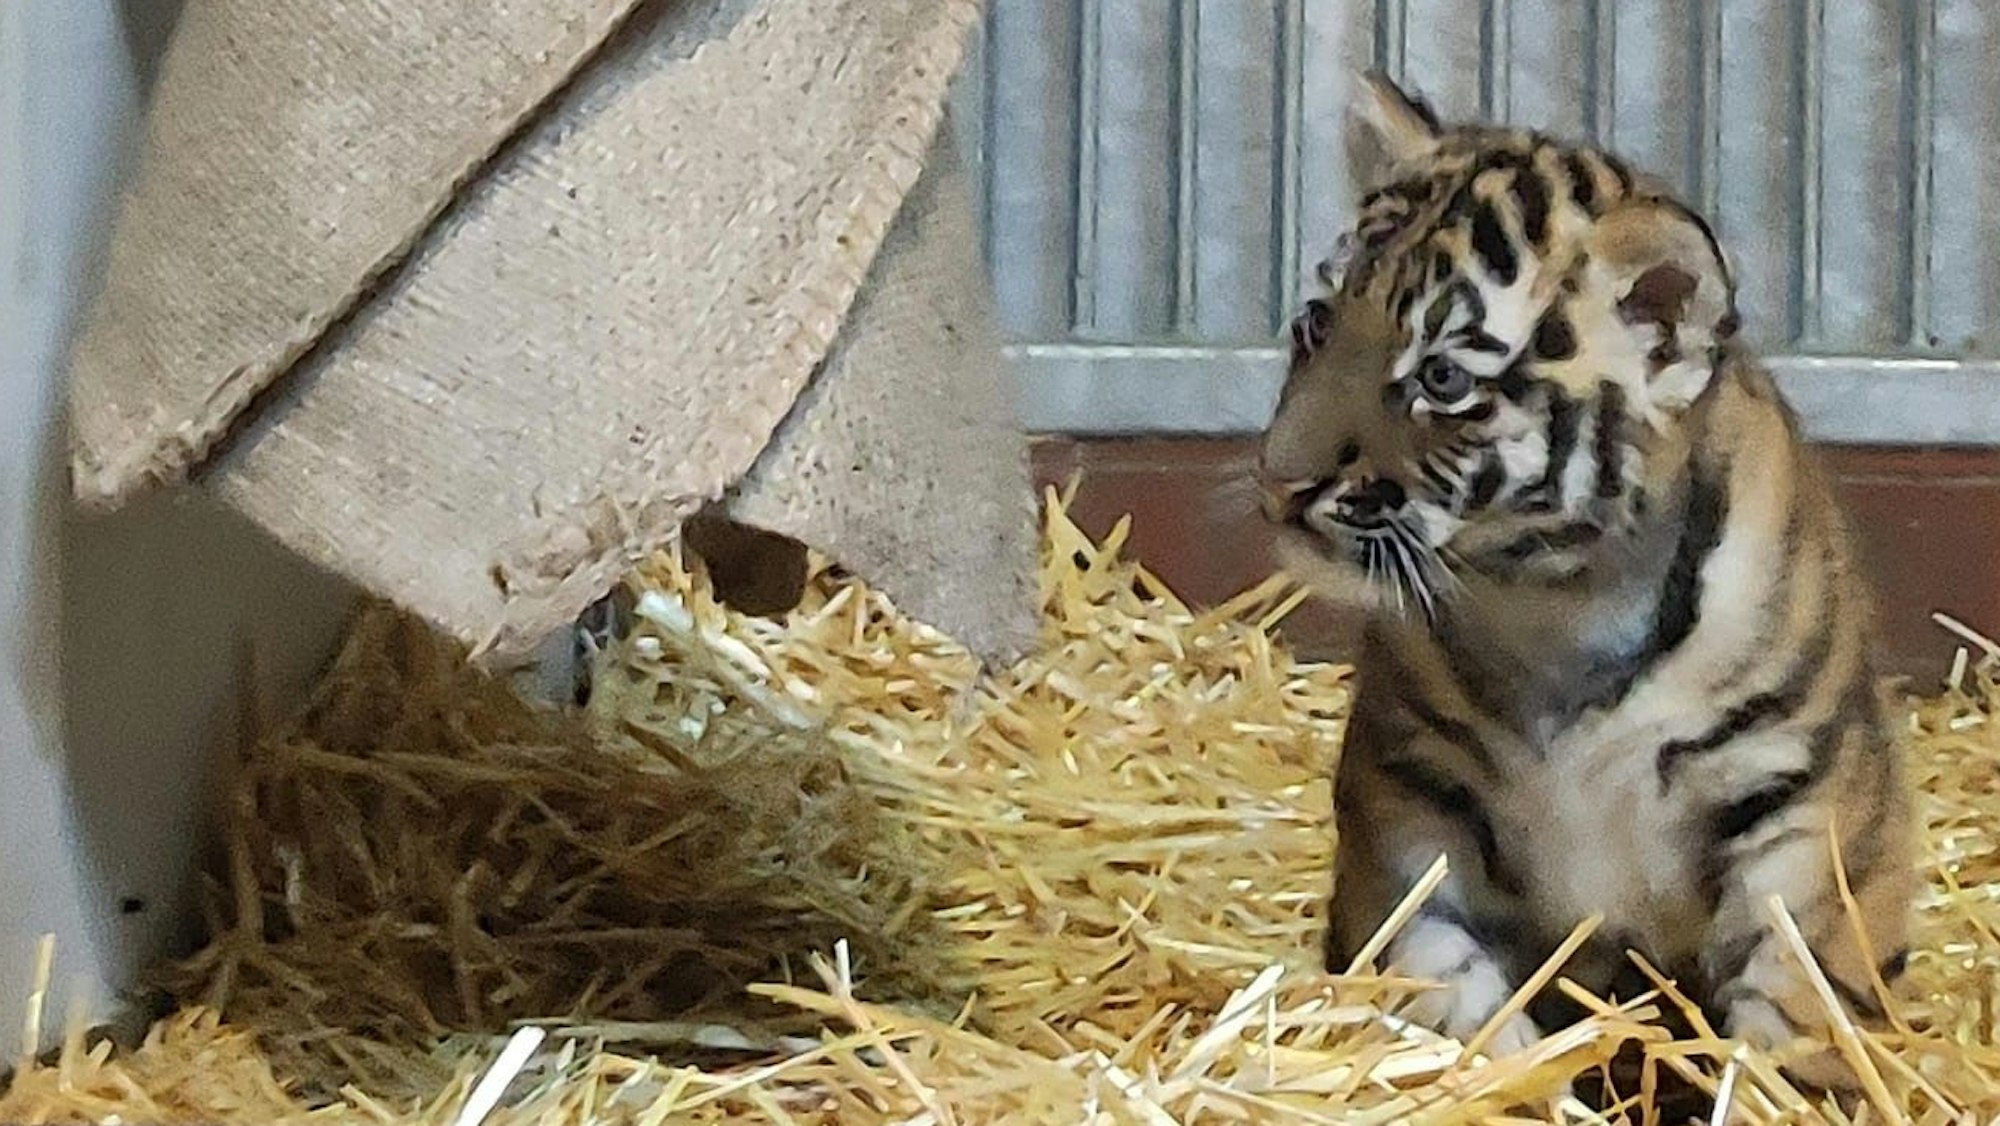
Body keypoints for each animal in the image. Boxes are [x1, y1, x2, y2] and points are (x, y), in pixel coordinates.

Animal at [1256, 72, 1914, 1093]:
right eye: (1320, 323)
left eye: (1441, 379)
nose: (1280, 482)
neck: (1551, 599)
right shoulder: (1403, 794)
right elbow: (1434, 965)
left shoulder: (1811, 801)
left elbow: (1801, 1002)